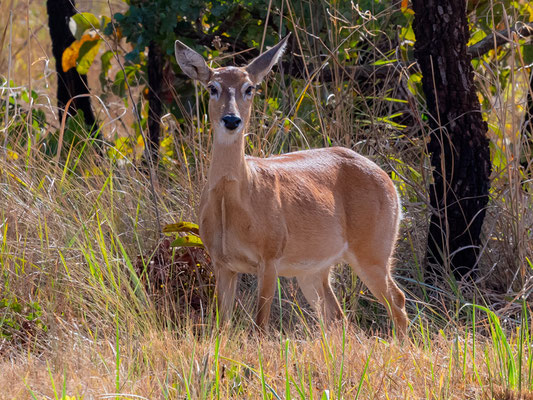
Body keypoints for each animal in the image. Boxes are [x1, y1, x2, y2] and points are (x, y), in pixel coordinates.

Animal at [175, 34, 408, 338]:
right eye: (212, 87)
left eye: (249, 88)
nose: (231, 119)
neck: (236, 200)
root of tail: (390, 183)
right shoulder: (221, 261)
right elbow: (221, 325)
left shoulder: (270, 256)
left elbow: (260, 325)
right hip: (314, 269)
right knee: (338, 314)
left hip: (374, 248)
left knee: (397, 302)